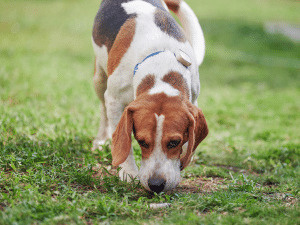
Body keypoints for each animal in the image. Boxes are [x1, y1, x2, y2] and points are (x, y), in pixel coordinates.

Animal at [92, 0, 209, 193]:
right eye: (142, 141)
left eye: (174, 142)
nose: (156, 185)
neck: (161, 67)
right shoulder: (114, 100)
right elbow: (124, 144)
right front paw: (128, 173)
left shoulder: (193, 100)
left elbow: (188, 145)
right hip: (99, 80)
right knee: (102, 110)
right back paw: (101, 139)